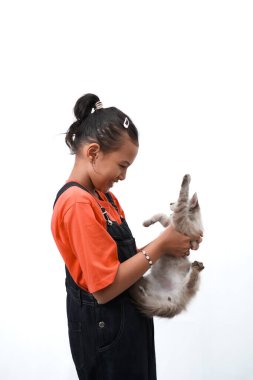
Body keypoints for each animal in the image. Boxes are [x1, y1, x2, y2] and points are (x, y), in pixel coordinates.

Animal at [129, 175, 205, 318]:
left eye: (174, 201)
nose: (170, 203)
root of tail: (176, 303)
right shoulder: (170, 224)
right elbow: (161, 215)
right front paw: (147, 222)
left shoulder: (180, 217)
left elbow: (182, 196)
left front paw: (186, 179)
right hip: (150, 289)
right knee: (145, 297)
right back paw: (140, 290)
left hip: (190, 286)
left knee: (190, 283)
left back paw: (196, 268)